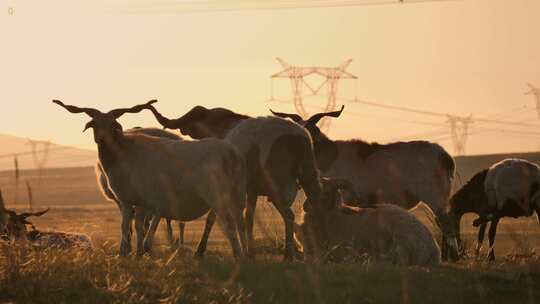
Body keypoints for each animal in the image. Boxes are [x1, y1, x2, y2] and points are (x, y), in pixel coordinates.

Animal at [51, 100, 246, 258]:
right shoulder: (137, 202)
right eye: (94, 124)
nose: (102, 138)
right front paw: (135, 253)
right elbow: (135, 226)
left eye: (113, 124)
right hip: (236, 195)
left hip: (217, 197)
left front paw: (128, 253)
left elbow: (131, 226)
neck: (124, 152)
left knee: (228, 224)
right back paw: (245, 254)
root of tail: (229, 153)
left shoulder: (132, 200)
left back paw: (237, 256)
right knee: (239, 221)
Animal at [144, 103, 320, 260]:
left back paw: (288, 255)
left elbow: (212, 218)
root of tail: (295, 138)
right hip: (308, 177)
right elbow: (248, 218)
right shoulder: (251, 190)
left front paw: (200, 251)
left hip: (275, 186)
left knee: (289, 215)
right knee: (313, 206)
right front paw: (250, 253)